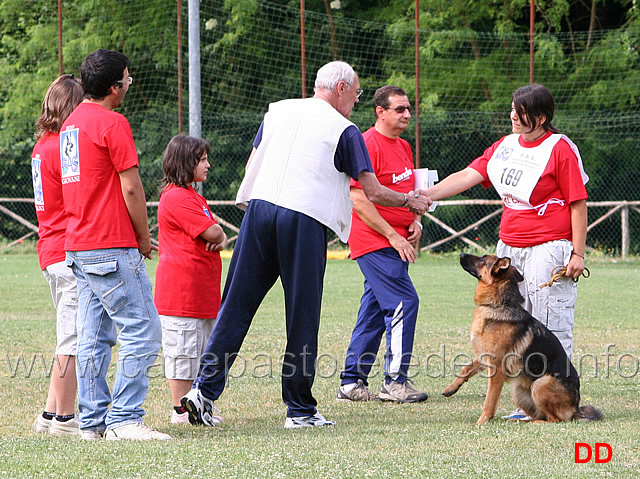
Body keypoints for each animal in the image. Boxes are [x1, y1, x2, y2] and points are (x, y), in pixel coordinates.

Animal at [442, 253, 604, 426]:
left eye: (483, 259)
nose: (461, 254)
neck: (498, 304)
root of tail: (576, 409)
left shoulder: (497, 369)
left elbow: (489, 400)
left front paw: (482, 420)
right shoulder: (485, 357)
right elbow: (466, 368)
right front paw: (451, 388)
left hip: (540, 383)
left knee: (555, 419)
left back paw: (535, 423)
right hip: (519, 390)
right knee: (540, 414)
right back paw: (519, 420)